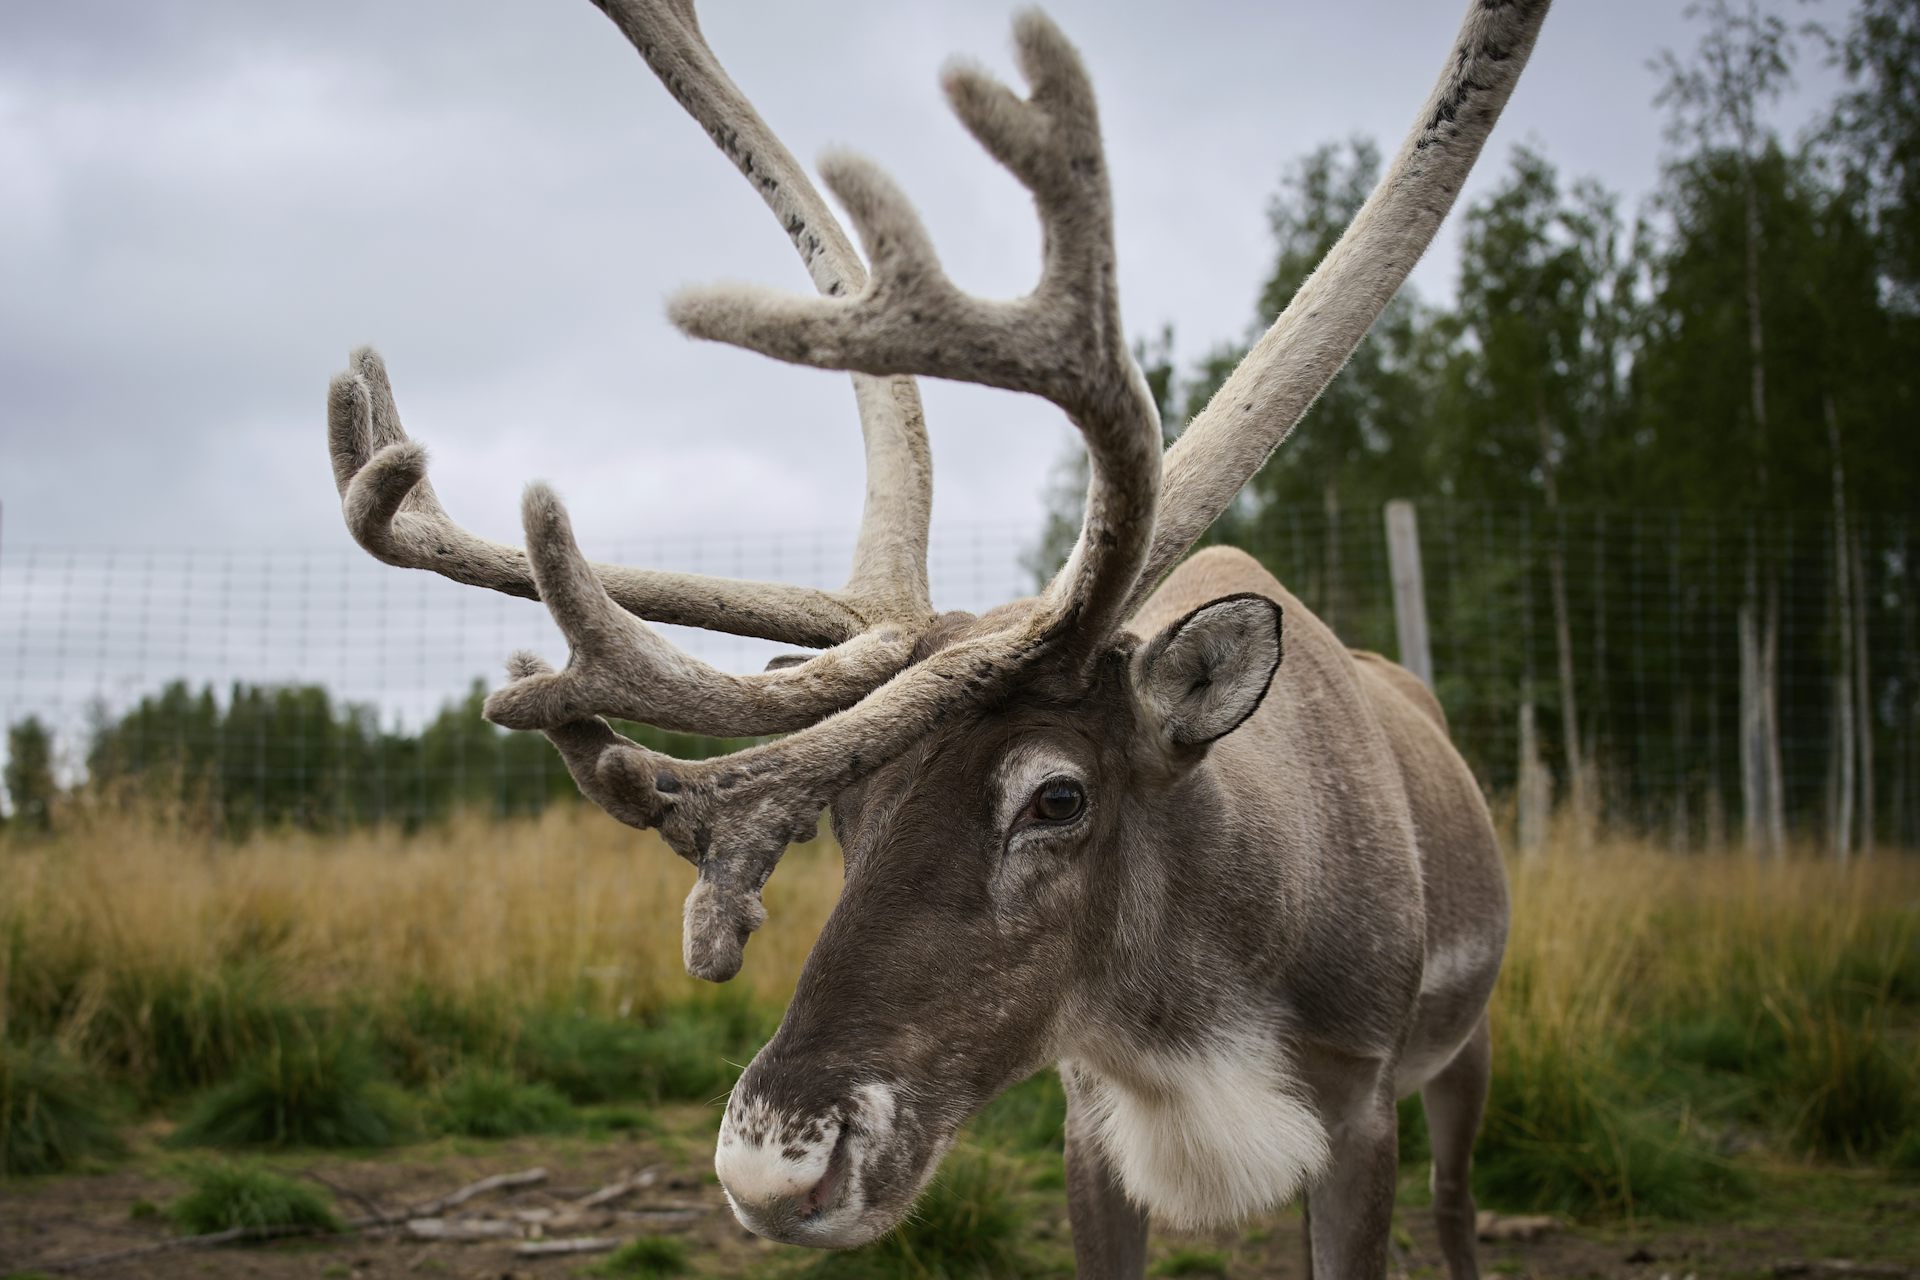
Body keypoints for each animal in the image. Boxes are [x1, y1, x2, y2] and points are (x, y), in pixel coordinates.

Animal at [324, 1, 1547, 1275]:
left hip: (1471, 1043)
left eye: (1058, 795)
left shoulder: (1359, 1109)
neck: (1198, 1030)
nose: (772, 1164)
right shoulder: (1090, 1122)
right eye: (849, 810)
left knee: (1457, 1199)